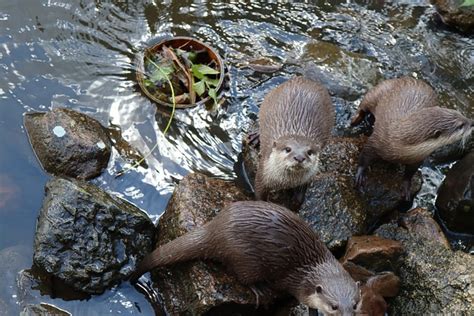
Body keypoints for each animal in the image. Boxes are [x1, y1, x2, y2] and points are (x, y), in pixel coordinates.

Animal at [130, 201, 360, 314]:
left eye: (355, 305)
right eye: (334, 306)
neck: (315, 267)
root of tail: (216, 229)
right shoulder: (300, 289)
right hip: (244, 258)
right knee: (242, 276)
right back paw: (260, 290)